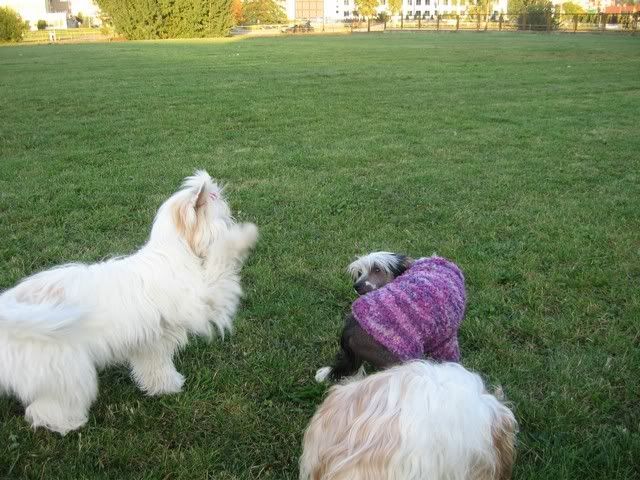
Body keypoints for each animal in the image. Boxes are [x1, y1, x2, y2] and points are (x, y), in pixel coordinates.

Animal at [0, 170, 258, 434]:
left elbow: (156, 367)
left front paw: (165, 386)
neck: (176, 255)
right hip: (67, 369)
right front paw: (244, 236)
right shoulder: (205, 299)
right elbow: (222, 261)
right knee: (46, 407)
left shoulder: (153, 341)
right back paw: (67, 423)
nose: (233, 220)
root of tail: (10, 305)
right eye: (223, 218)